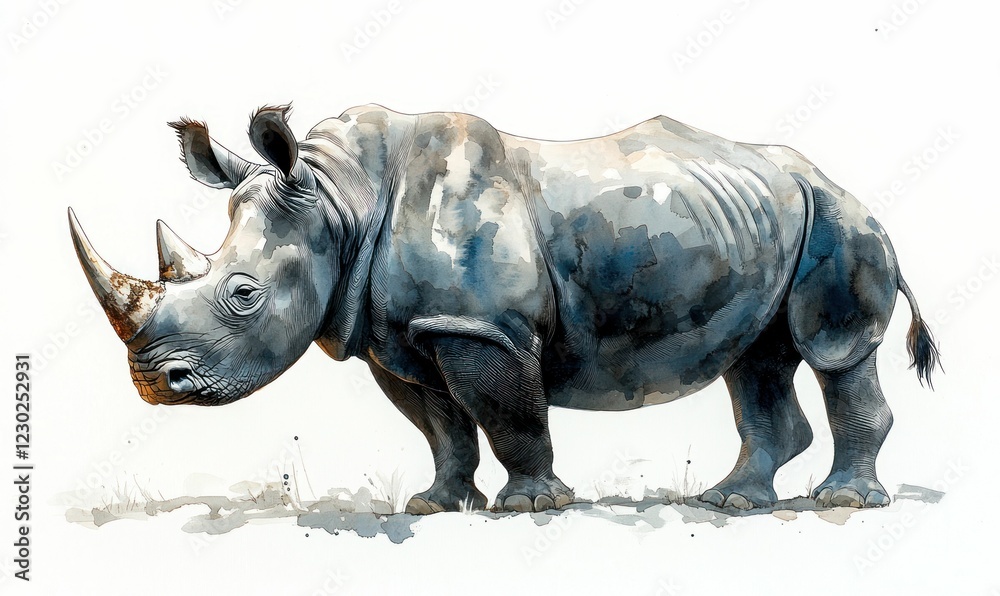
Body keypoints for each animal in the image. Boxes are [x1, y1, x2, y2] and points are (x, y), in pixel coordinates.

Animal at [69, 104, 939, 514]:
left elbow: (510, 414)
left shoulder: (482, 327)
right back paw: (732, 502)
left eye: (242, 295)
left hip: (840, 221)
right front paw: (438, 505)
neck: (340, 199)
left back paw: (842, 501)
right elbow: (443, 426)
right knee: (757, 361)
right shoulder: (402, 336)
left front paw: (532, 505)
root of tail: (838, 182)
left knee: (833, 350)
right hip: (764, 224)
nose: (152, 383)